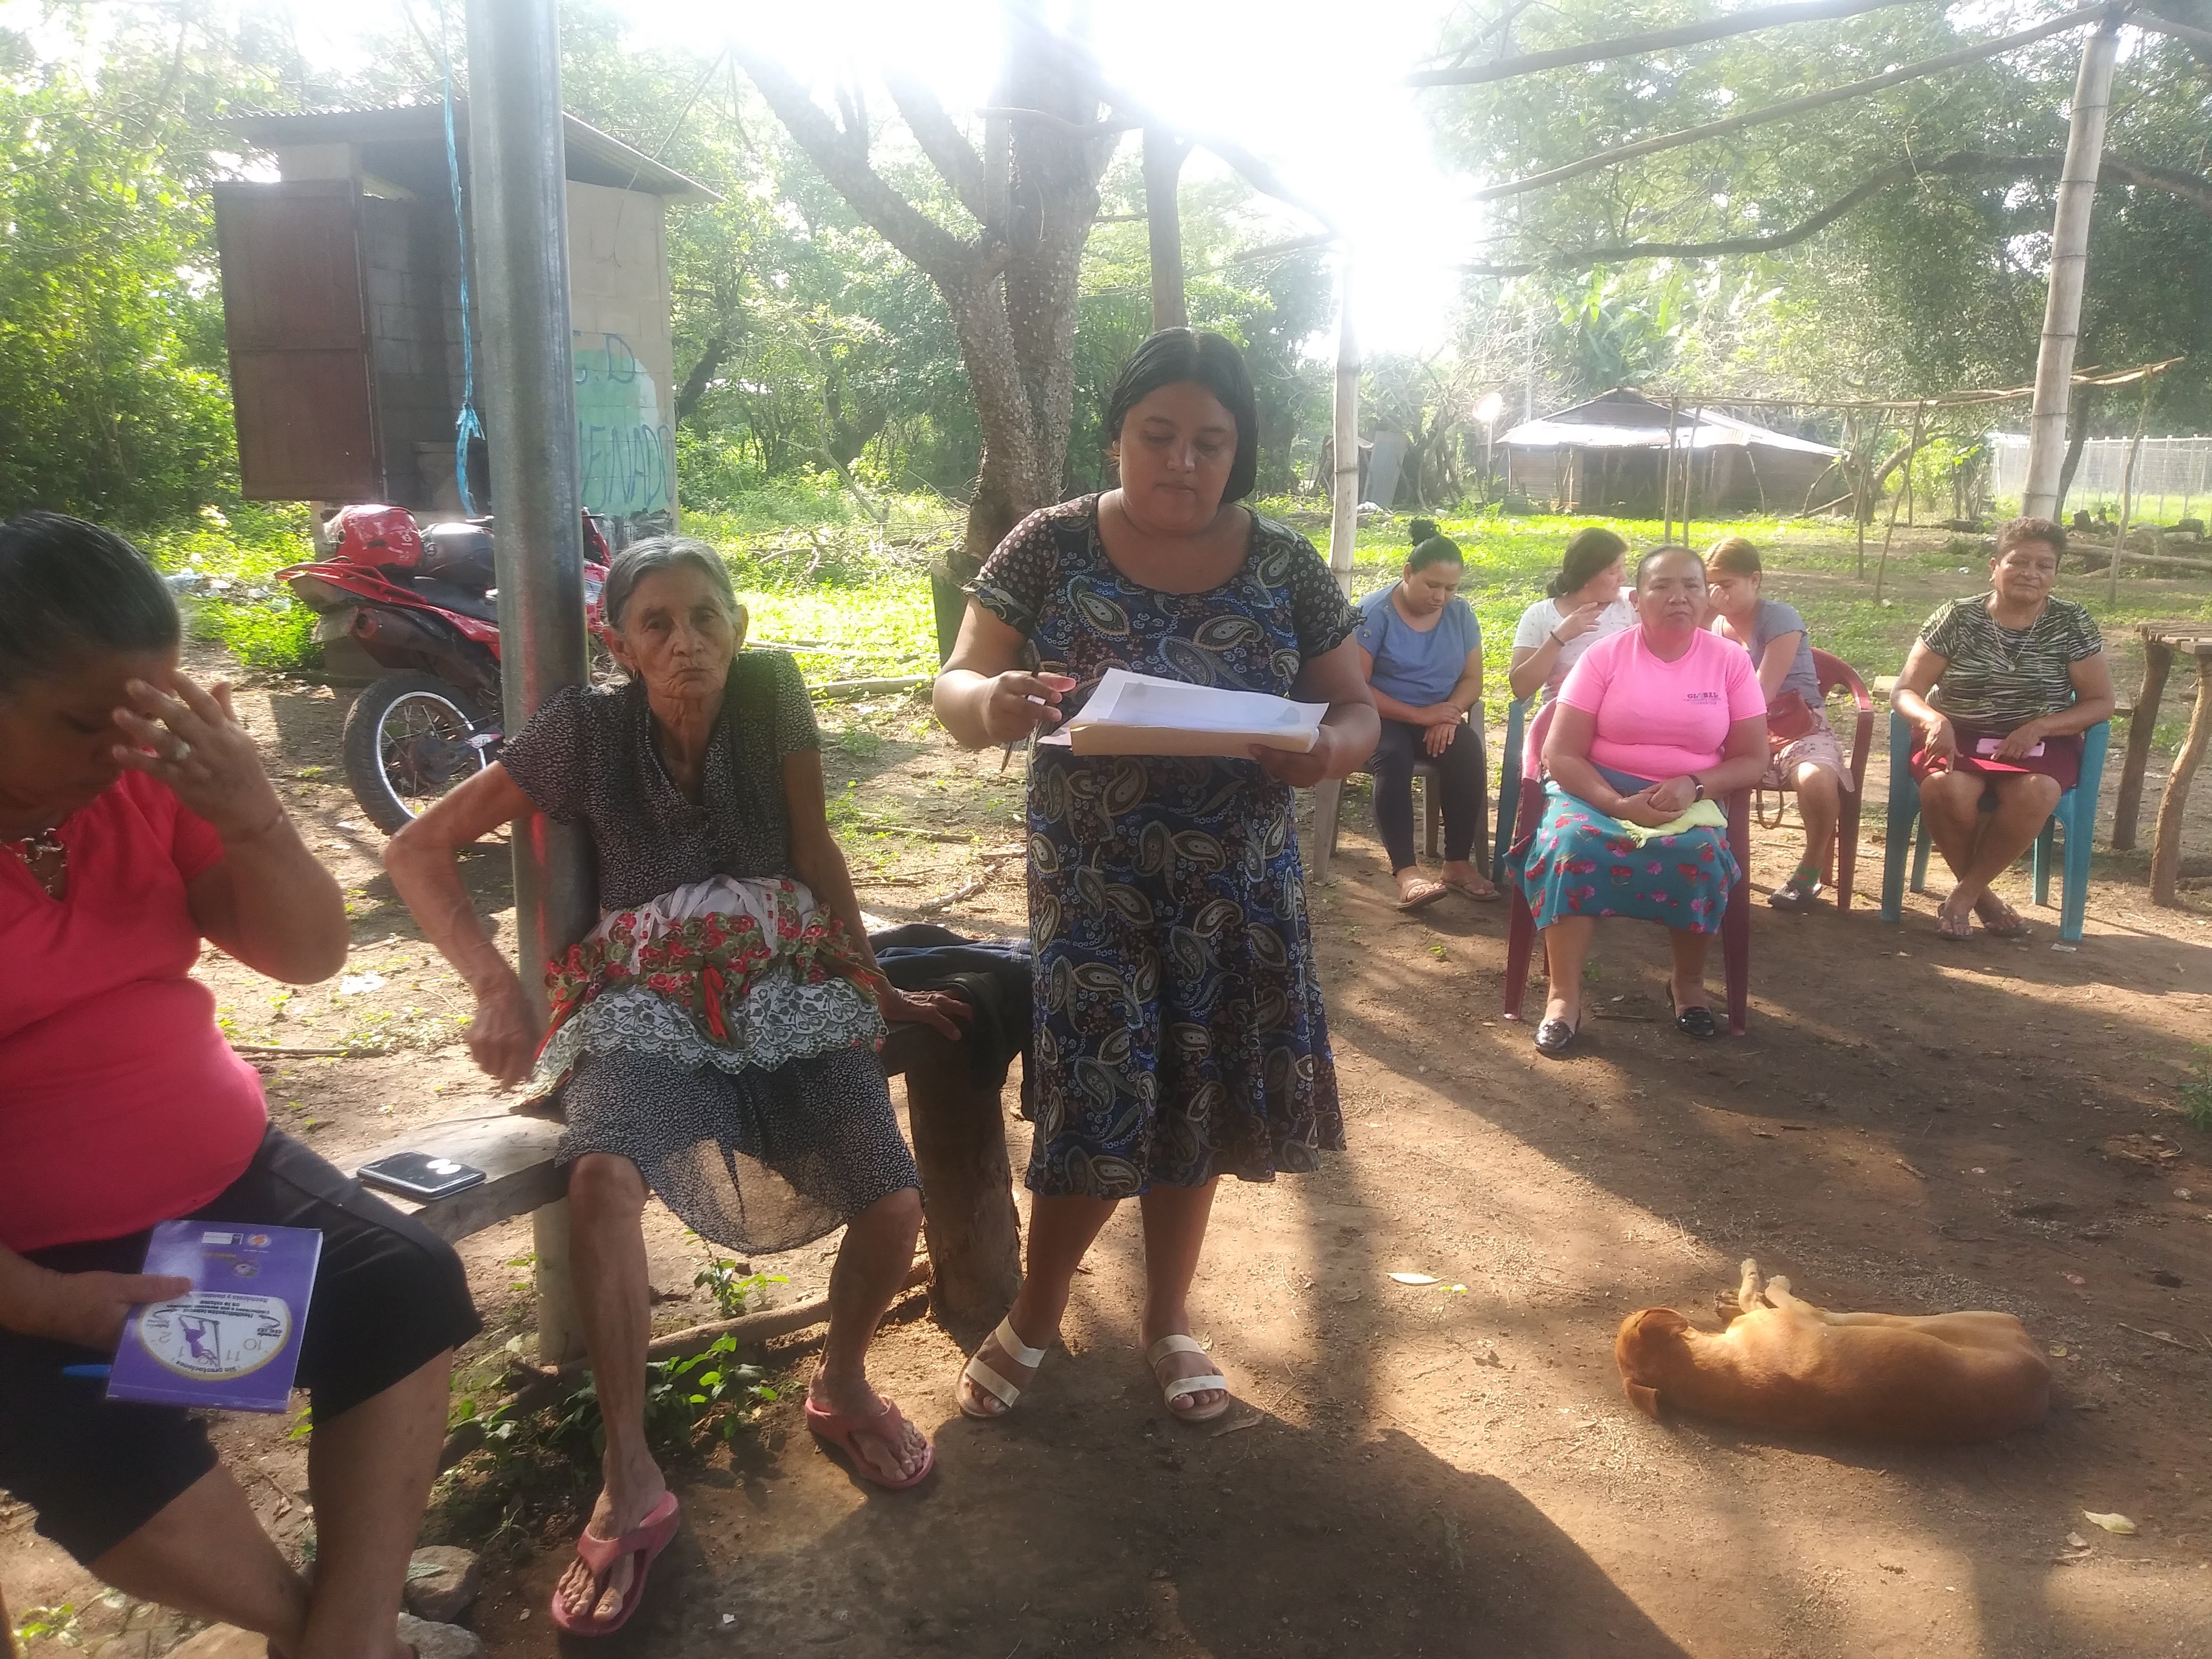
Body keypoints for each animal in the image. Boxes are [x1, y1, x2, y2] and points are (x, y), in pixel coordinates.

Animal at [1610, 1256, 2052, 1442]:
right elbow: (1760, 1292)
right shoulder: (1796, 1317)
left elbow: (1755, 1297)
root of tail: (2043, 1379)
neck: (1711, 1369)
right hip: (1927, 1320)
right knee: (1828, 1311)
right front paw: (1756, 1276)